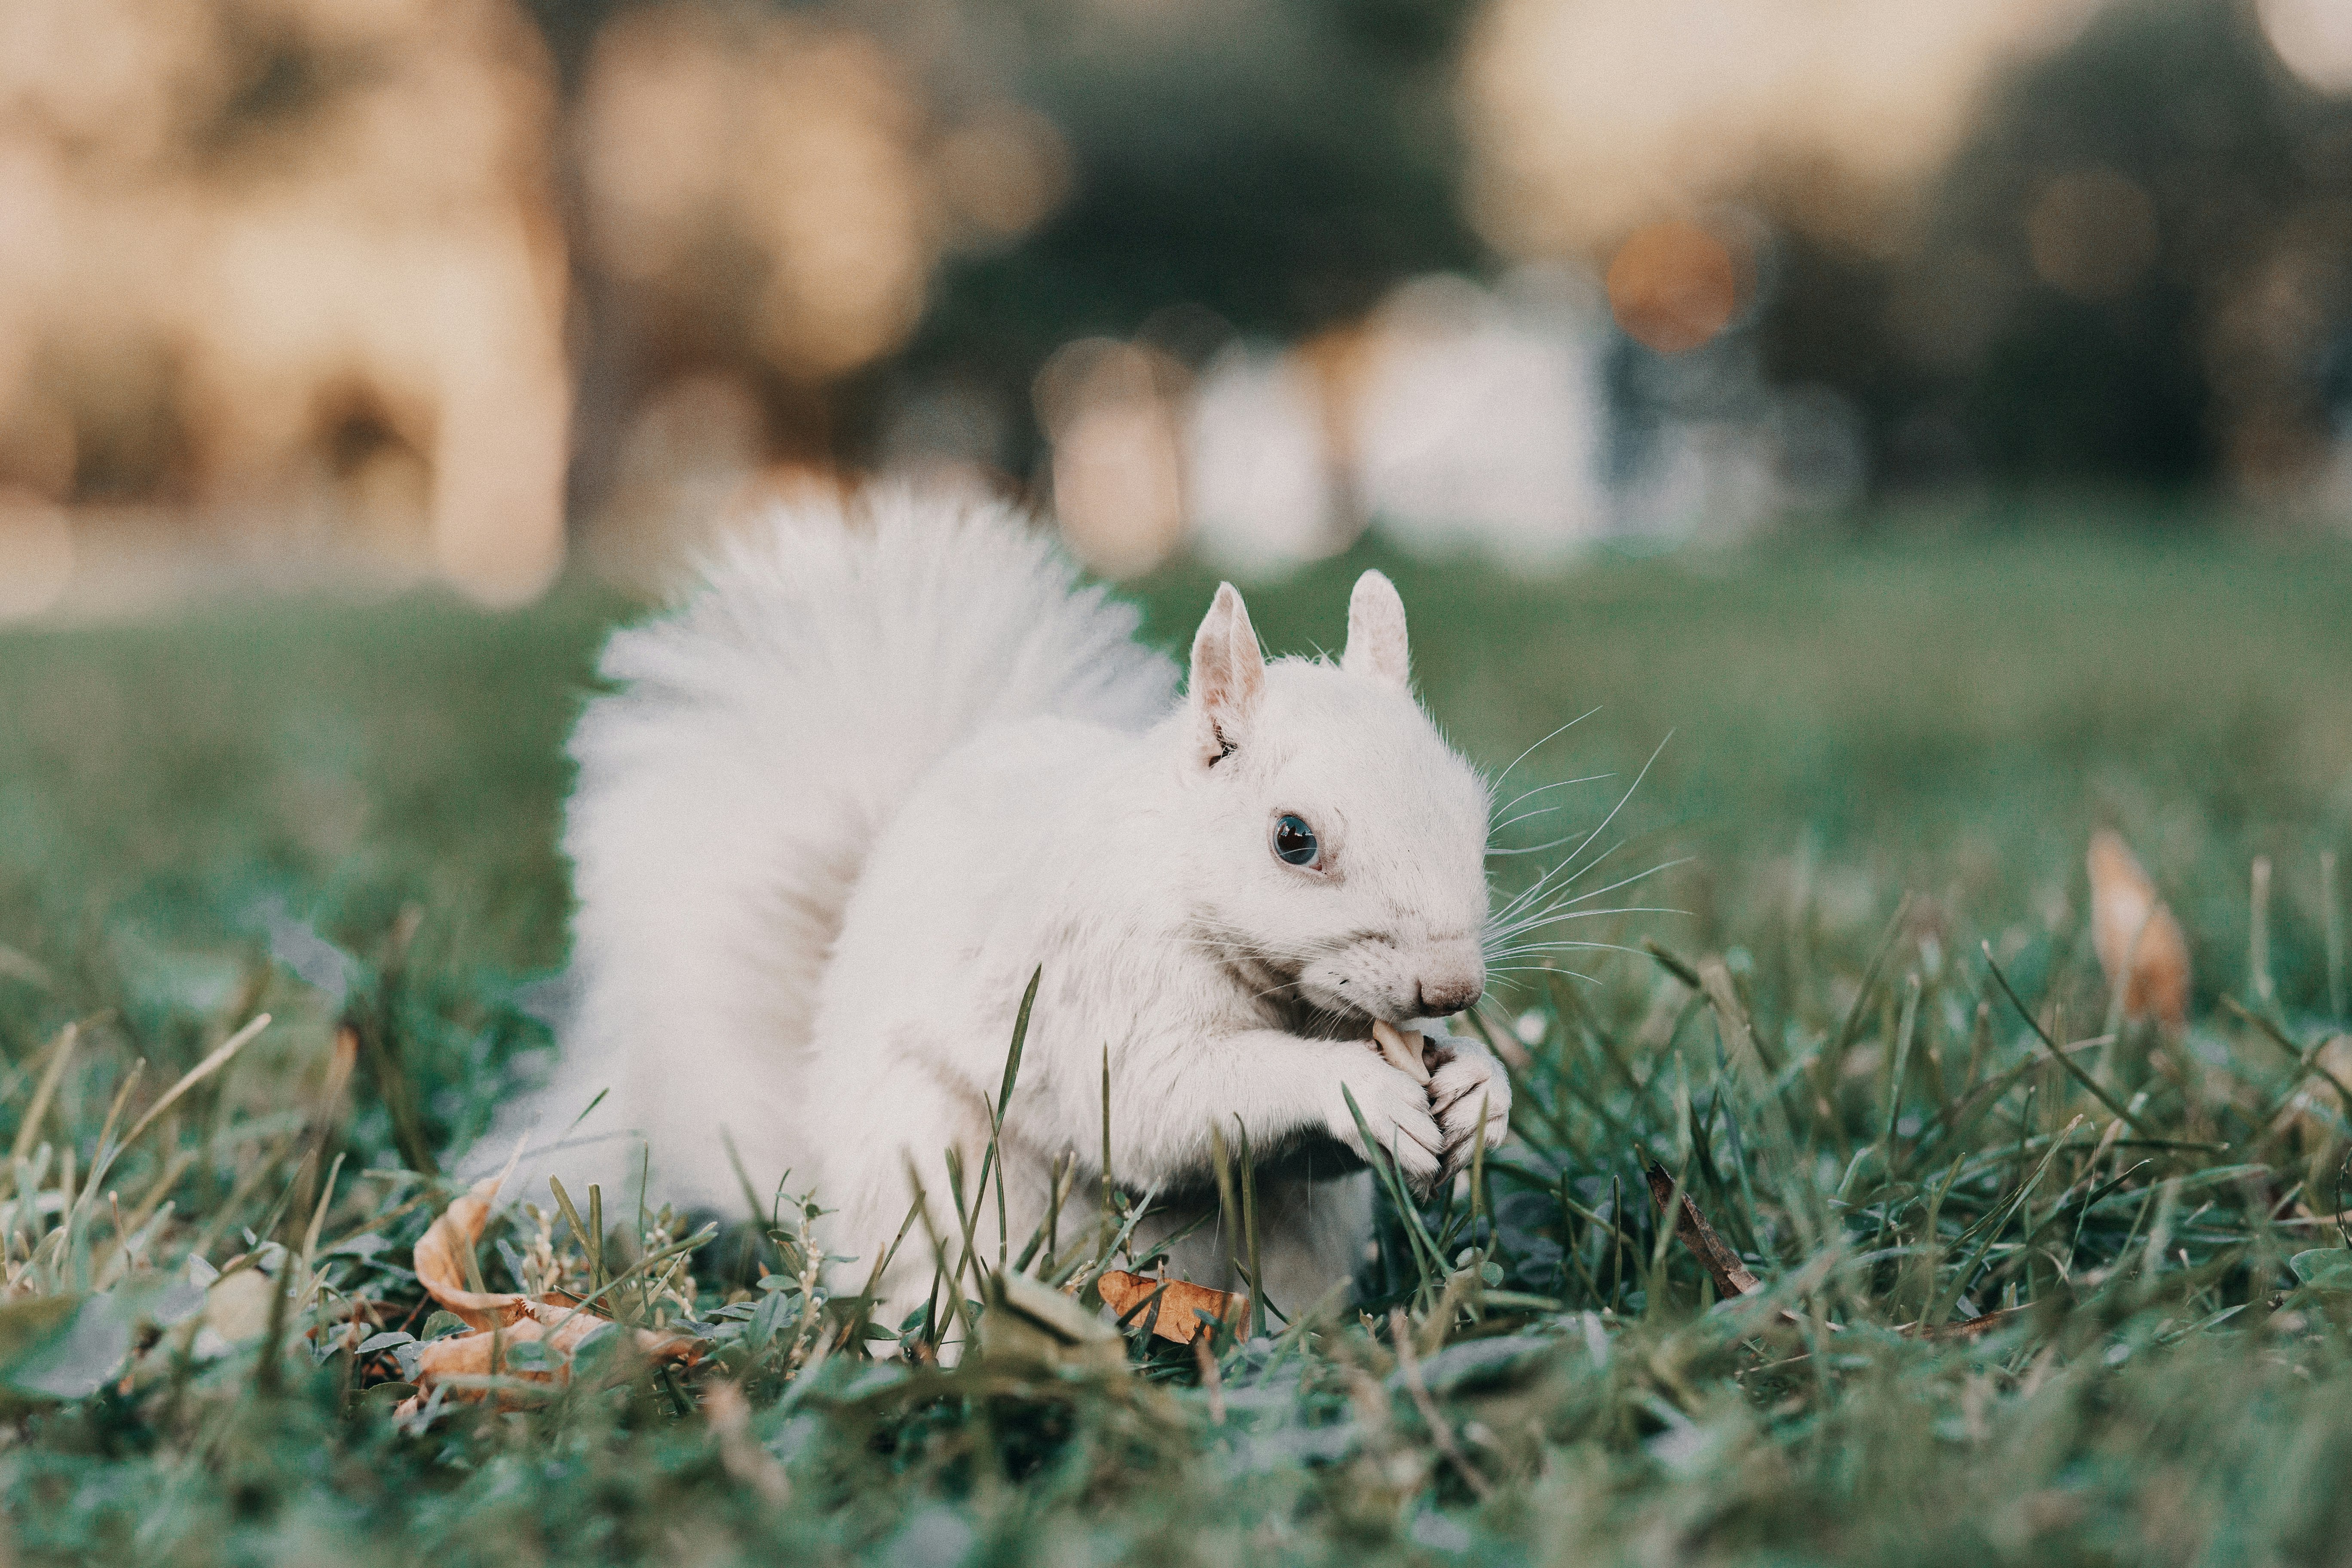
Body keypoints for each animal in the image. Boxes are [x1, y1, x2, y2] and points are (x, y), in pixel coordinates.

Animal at [505, 487, 1514, 1326]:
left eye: (1474, 809)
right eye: (1292, 838)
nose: (1451, 987)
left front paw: (1477, 1092)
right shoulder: (1097, 990)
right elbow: (1161, 1103)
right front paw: (1357, 1089)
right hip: (942, 1189)